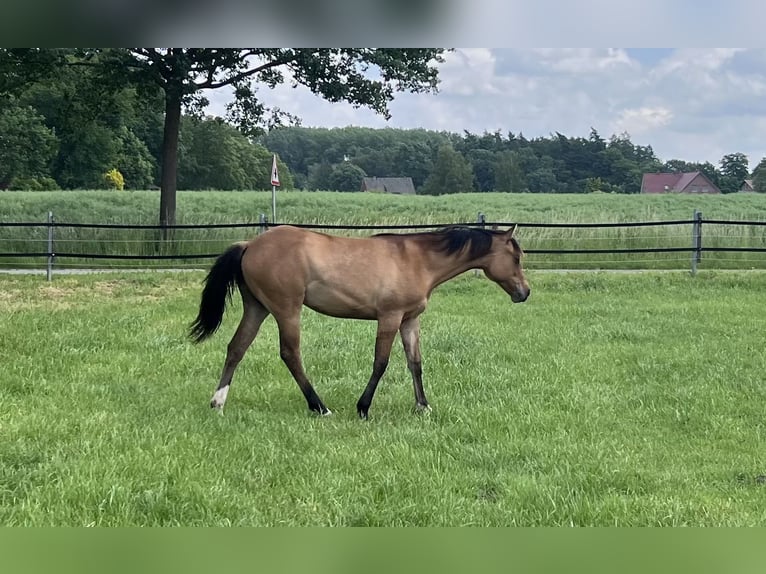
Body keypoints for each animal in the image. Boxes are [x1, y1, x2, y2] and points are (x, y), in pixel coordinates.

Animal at [189, 224, 530, 419]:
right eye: (516, 258)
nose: (524, 292)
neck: (418, 259)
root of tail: (250, 244)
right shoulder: (389, 317)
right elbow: (381, 363)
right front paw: (363, 408)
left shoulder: (410, 320)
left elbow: (415, 363)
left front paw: (423, 406)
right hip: (287, 309)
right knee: (290, 354)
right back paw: (320, 407)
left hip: (258, 308)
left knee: (237, 348)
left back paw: (218, 402)